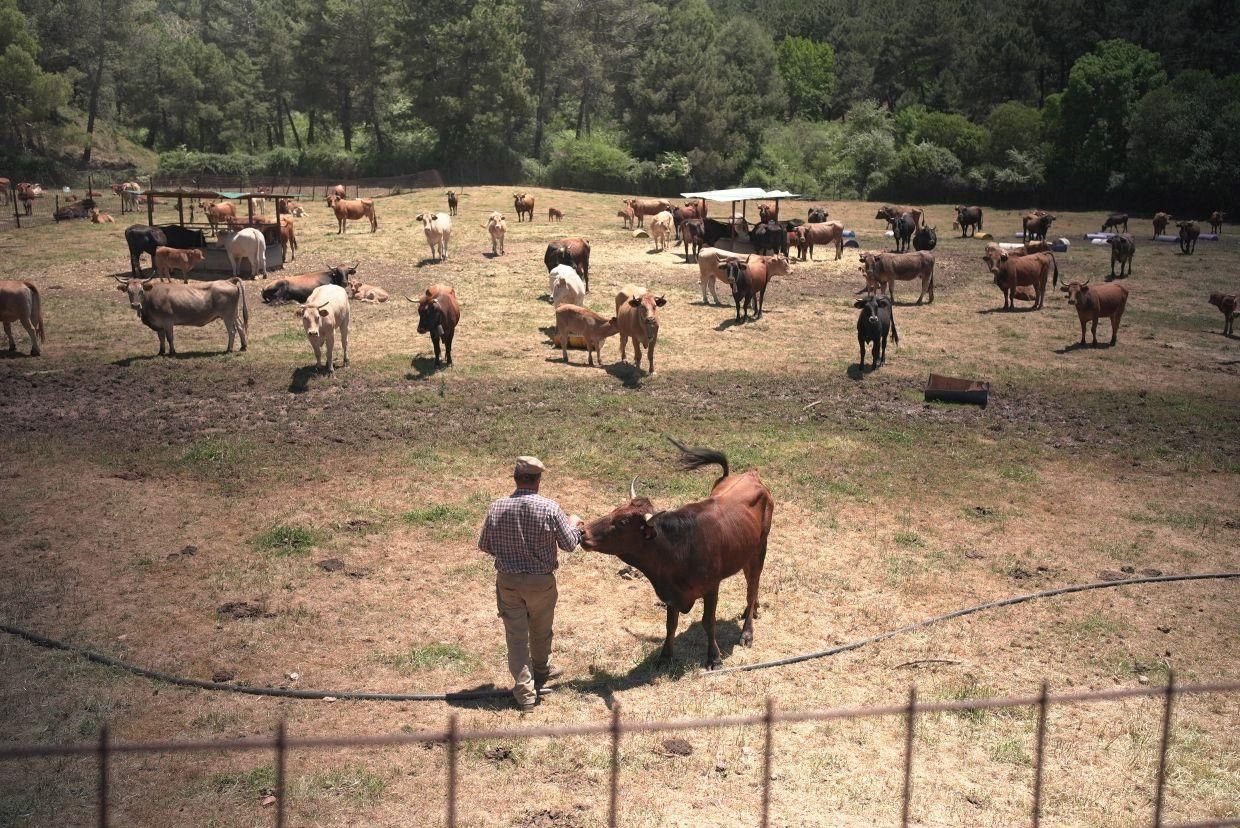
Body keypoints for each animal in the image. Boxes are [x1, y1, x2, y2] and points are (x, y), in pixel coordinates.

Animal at [114, 276, 248, 355]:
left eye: (141, 291)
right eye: (129, 291)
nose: (135, 305)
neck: (151, 295)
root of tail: (228, 281)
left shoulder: (168, 321)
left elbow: (169, 338)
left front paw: (172, 352)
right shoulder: (159, 324)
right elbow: (161, 338)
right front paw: (161, 352)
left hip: (227, 315)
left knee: (232, 331)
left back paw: (229, 349)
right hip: (234, 314)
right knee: (241, 327)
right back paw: (243, 346)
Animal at [579, 438, 773, 669]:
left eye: (623, 522)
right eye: (615, 510)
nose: (583, 532)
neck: (680, 548)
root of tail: (751, 475)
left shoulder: (711, 587)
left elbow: (708, 622)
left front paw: (714, 657)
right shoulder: (671, 593)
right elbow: (670, 624)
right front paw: (665, 656)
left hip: (760, 549)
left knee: (752, 587)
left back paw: (747, 632)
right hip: (745, 553)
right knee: (752, 584)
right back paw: (752, 610)